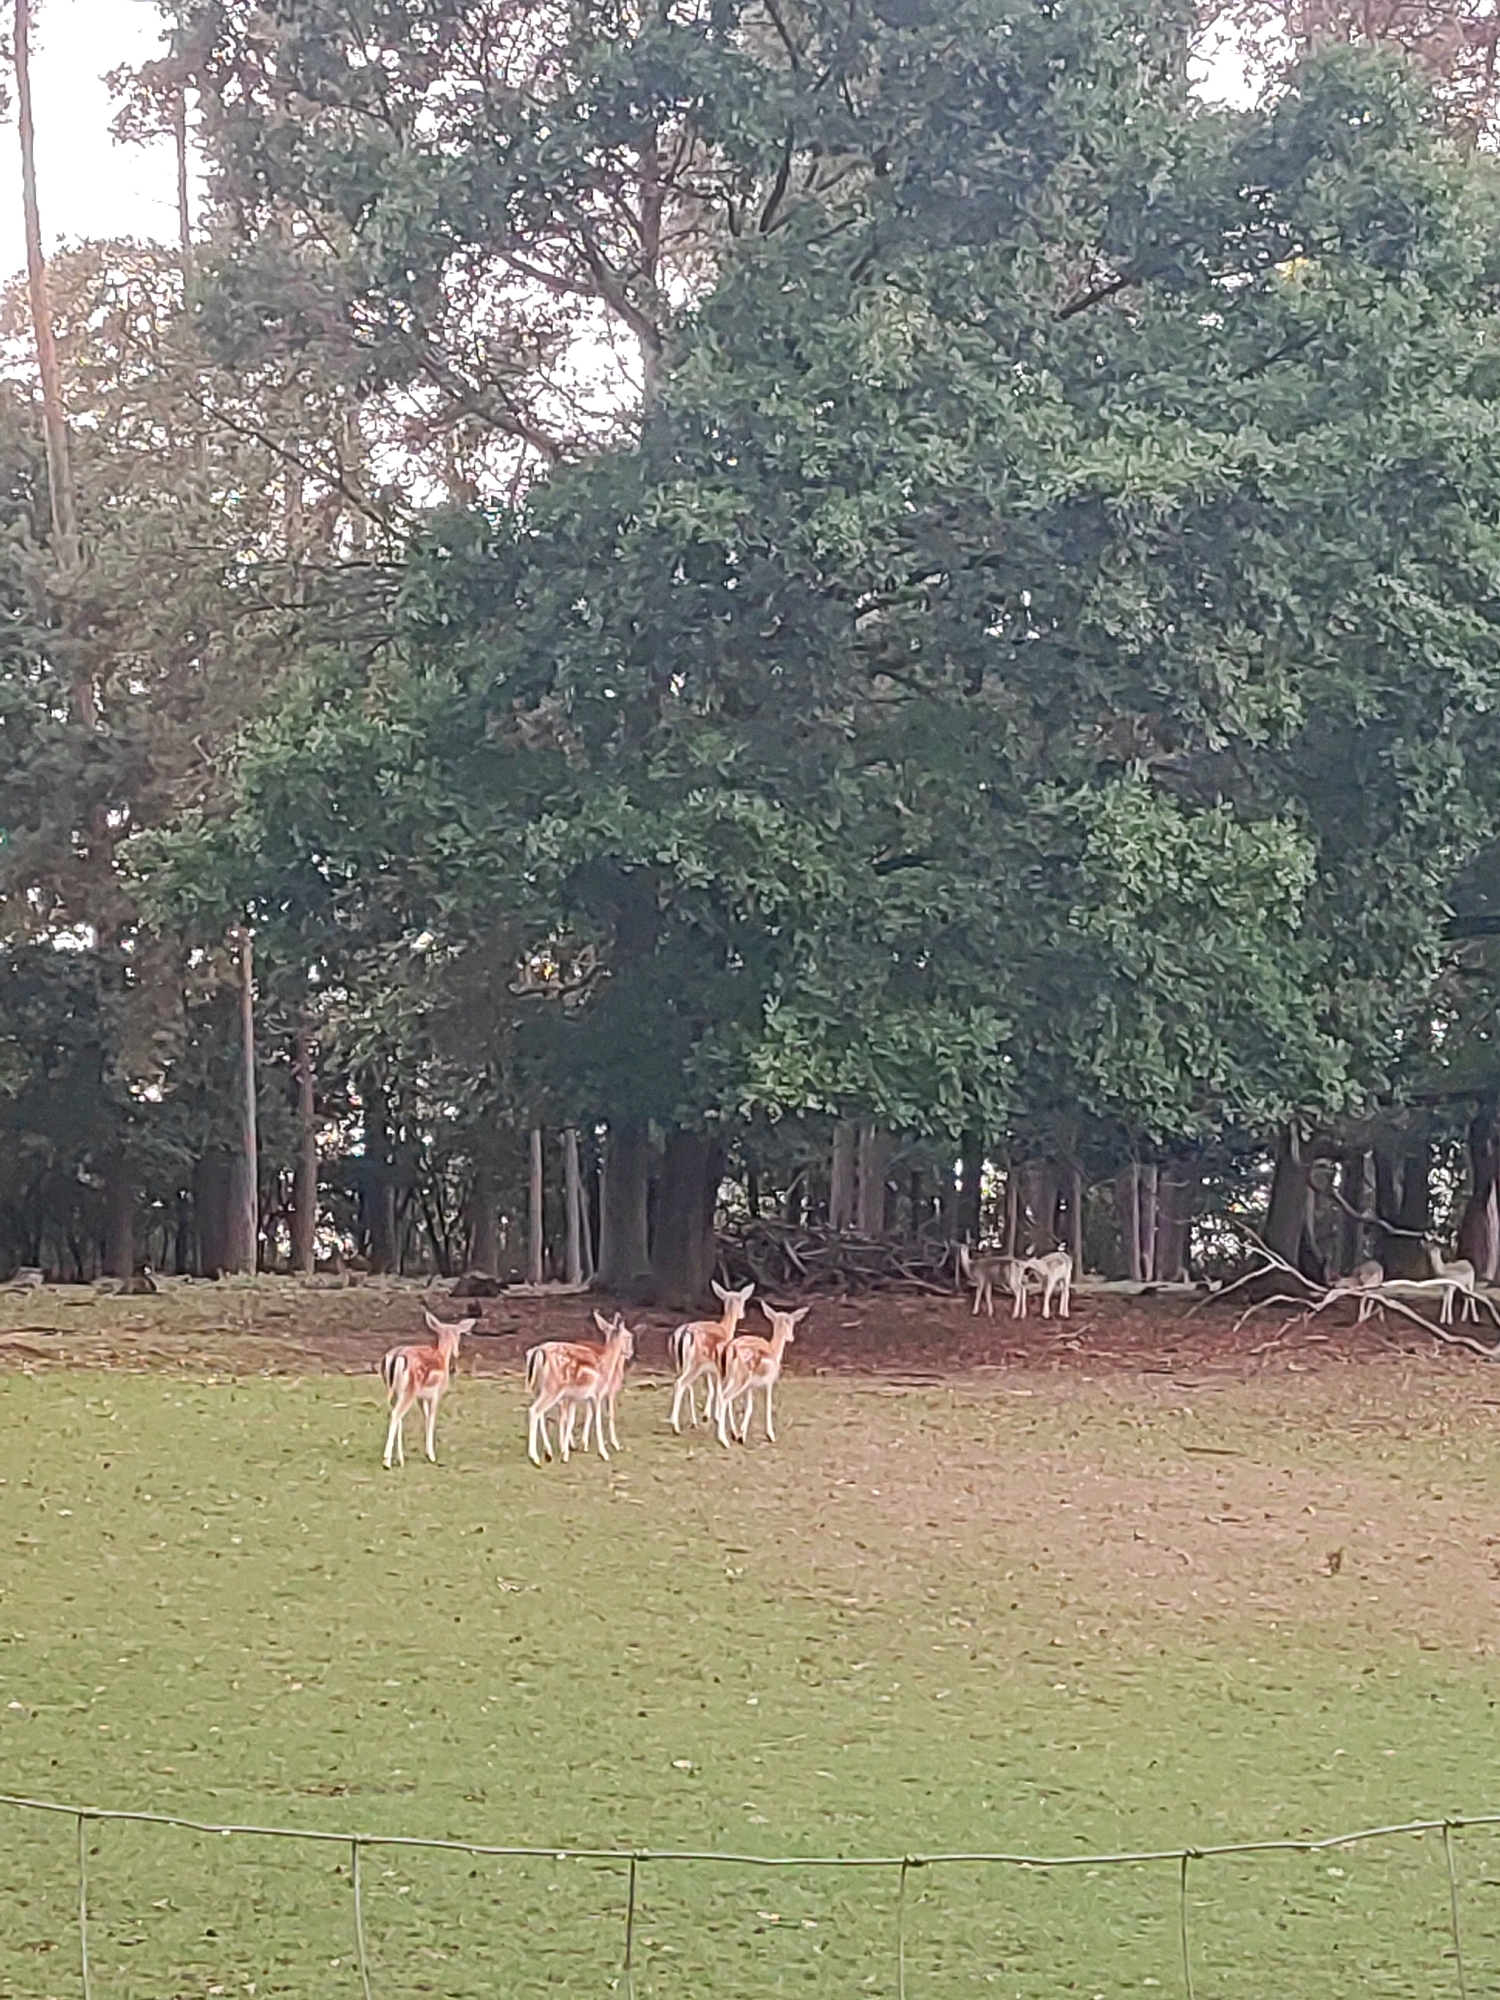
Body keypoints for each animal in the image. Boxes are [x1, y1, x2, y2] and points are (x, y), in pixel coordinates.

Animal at [380, 1310, 477, 1469]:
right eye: (458, 1334)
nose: (457, 1352)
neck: (442, 1356)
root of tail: (396, 1356)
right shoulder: (437, 1394)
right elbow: (431, 1419)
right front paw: (431, 1456)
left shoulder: (421, 1397)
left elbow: (425, 1417)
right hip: (410, 1390)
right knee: (396, 1414)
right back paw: (387, 1461)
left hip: (394, 1390)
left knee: (395, 1414)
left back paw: (400, 1459)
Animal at [526, 1313, 635, 1465]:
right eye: (629, 1336)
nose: (630, 1353)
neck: (606, 1363)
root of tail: (538, 1351)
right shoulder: (598, 1393)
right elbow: (598, 1419)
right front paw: (604, 1453)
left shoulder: (574, 1397)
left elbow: (571, 1420)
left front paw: (565, 1454)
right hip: (552, 1388)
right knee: (534, 1410)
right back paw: (535, 1458)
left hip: (538, 1388)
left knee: (540, 1412)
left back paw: (548, 1453)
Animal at [668, 1280, 755, 1431]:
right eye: (743, 1300)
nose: (742, 1314)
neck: (726, 1329)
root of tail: (683, 1332)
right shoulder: (721, 1368)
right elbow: (719, 1391)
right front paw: (717, 1418)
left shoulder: (709, 1369)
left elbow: (711, 1389)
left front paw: (707, 1415)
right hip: (693, 1365)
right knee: (681, 1383)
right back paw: (676, 1427)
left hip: (680, 1364)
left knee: (686, 1386)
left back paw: (692, 1422)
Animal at [717, 1302, 807, 1446]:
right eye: (790, 1322)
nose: (791, 1338)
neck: (774, 1351)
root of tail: (731, 1349)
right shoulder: (769, 1382)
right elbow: (768, 1405)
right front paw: (771, 1436)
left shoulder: (750, 1386)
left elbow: (749, 1408)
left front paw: (741, 1436)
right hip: (740, 1378)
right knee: (725, 1397)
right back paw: (724, 1441)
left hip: (728, 1377)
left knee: (722, 1396)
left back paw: (732, 1434)